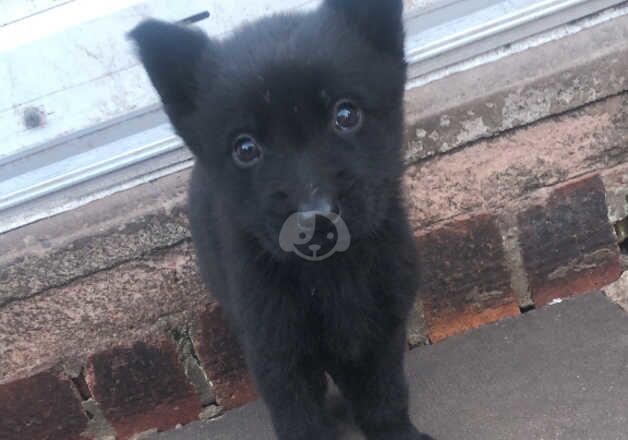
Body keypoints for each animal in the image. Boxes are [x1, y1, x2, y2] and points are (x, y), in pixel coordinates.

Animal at [129, 1, 432, 438]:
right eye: (245, 148)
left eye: (346, 114)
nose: (316, 219)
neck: (329, 275)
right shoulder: (277, 355)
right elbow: (301, 419)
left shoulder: (382, 331)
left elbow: (385, 397)